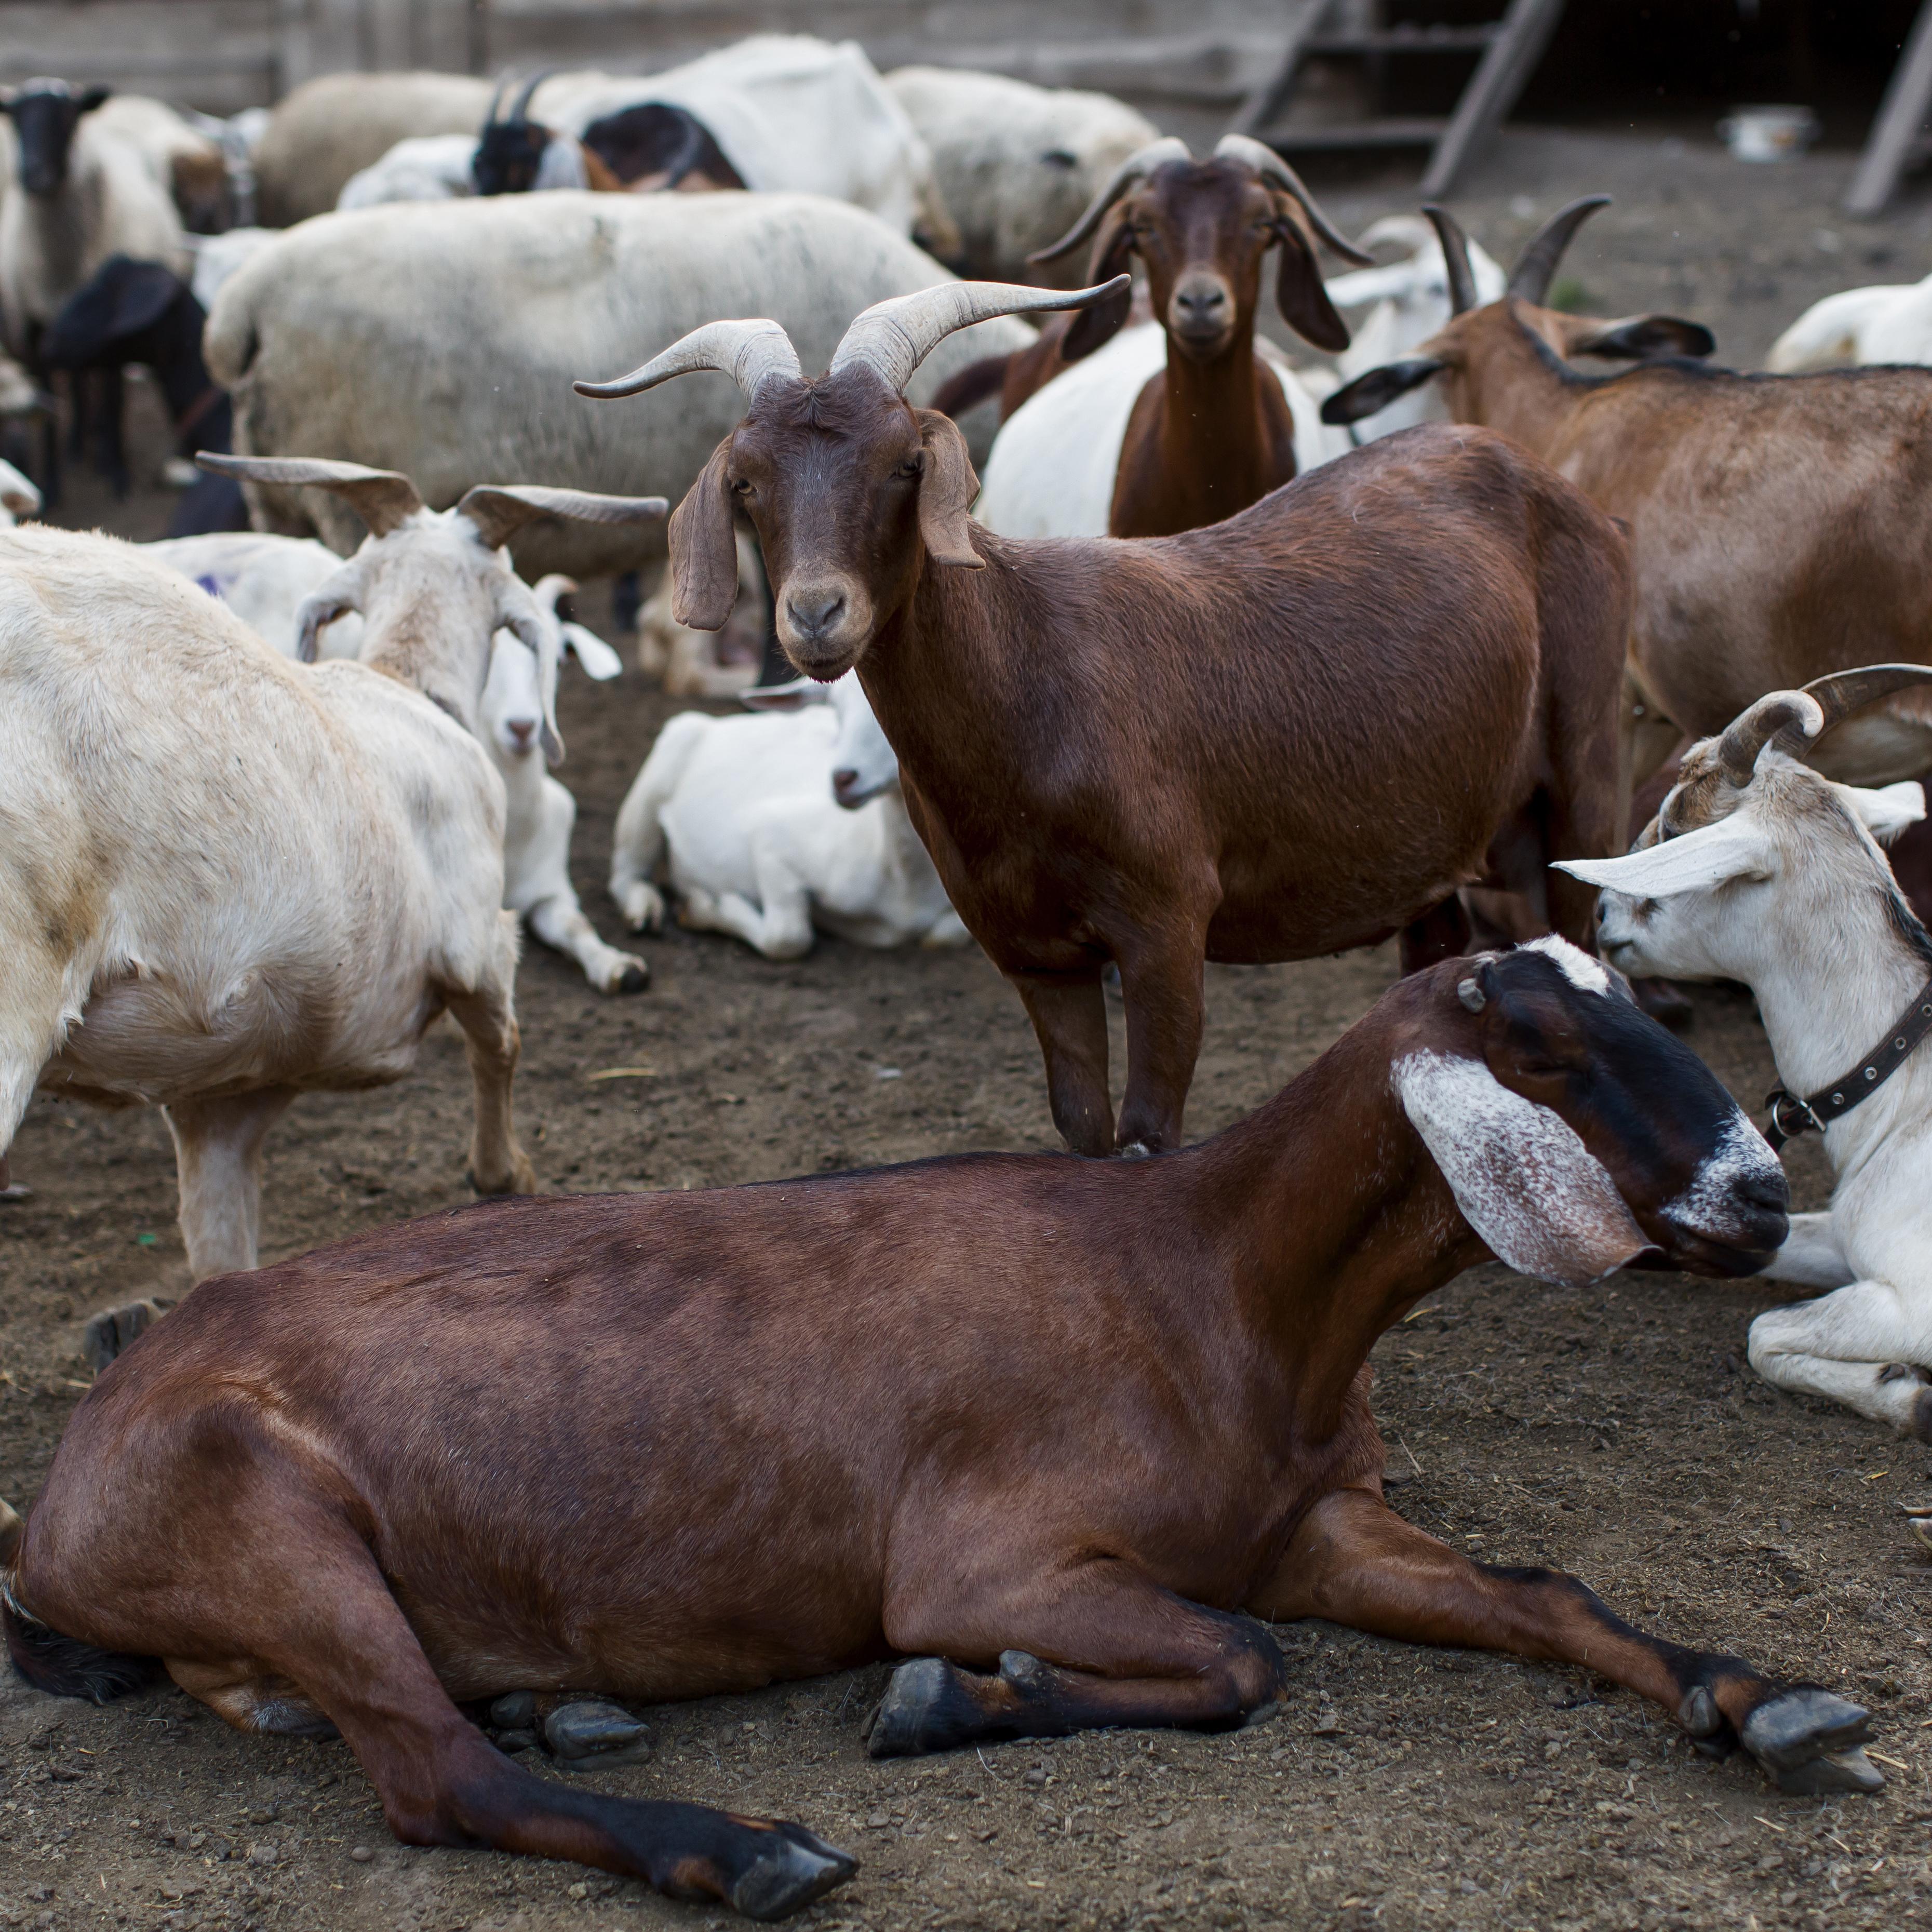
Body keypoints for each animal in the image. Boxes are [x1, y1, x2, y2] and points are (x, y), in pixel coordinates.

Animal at [6, 942, 1888, 1928]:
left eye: (1651, 998)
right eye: (1548, 1045)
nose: (1758, 1193)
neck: (1211, 1280)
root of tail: (62, 1499)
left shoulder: (1319, 1523)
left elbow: (1542, 1595)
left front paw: (1772, 1701)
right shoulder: (987, 1558)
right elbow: (1244, 1662)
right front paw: (945, 1702)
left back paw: (562, 1699)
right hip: (262, 1514)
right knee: (429, 1780)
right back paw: (741, 1847)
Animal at [608, 673, 965, 958]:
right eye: (836, 709)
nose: (842, 778)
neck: (906, 884)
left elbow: (943, 937)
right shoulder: (772, 836)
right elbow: (788, 938)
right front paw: (704, 906)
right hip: (650, 790)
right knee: (626, 873)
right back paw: (645, 911)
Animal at [1557, 665, 1932, 1449]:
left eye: (1672, 829)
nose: (1603, 915)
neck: (1907, 1094)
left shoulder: (1913, 1305)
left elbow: (1764, 1334)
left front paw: (1915, 1397)